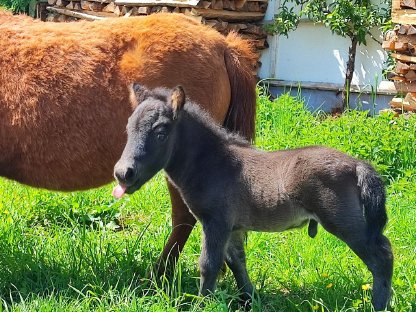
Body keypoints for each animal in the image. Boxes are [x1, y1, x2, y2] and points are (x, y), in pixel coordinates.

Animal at [113, 84, 394, 310]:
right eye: (127, 128)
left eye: (161, 133)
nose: (123, 173)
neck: (213, 162)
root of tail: (358, 165)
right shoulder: (234, 227)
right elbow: (237, 261)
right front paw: (250, 300)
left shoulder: (215, 222)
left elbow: (209, 264)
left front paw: (203, 304)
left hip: (346, 224)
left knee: (382, 257)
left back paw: (378, 306)